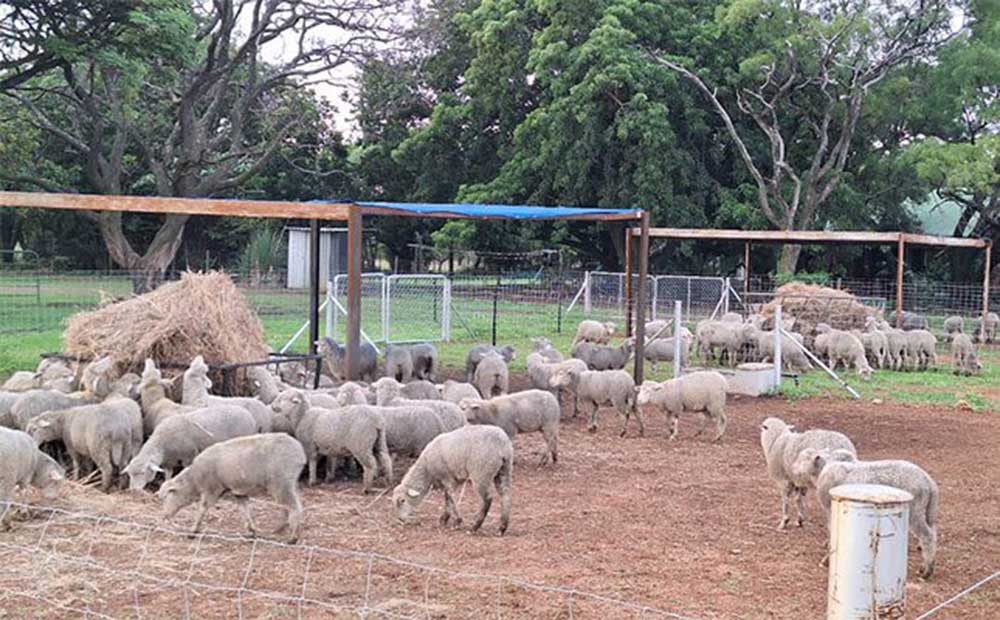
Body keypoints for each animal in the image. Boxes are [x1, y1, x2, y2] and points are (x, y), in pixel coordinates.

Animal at [123, 405, 259, 491]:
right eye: (130, 474)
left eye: (142, 473)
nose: (133, 490)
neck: (162, 442)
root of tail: (249, 414)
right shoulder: (169, 460)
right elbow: (168, 474)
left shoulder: (189, 455)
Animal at [158, 433, 307, 543]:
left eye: (169, 495)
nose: (164, 516)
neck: (194, 480)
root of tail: (300, 452)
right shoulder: (238, 491)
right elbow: (244, 509)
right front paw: (251, 531)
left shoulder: (212, 489)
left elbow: (202, 509)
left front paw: (193, 531)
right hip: (289, 483)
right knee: (288, 506)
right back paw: (281, 528)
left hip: (281, 483)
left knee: (295, 507)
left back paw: (293, 537)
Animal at [802, 450, 939, 579]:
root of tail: (928, 482)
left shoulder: (830, 510)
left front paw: (826, 560)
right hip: (927, 512)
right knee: (933, 533)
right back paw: (925, 566)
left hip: (915, 511)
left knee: (927, 536)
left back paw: (927, 571)